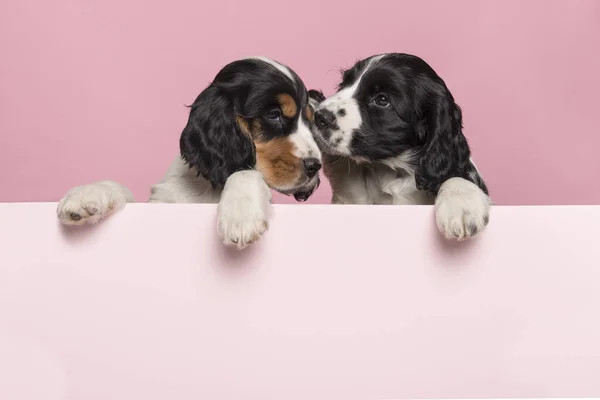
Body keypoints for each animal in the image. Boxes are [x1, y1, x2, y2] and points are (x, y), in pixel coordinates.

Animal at [56, 57, 324, 248]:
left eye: (310, 120)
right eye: (273, 115)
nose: (315, 167)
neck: (208, 188)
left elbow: (245, 173)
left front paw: (240, 216)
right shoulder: (161, 205)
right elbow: (123, 191)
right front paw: (87, 195)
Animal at [312, 53, 490, 241]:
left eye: (382, 99)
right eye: (343, 84)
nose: (319, 117)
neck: (394, 169)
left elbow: (453, 177)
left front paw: (462, 208)